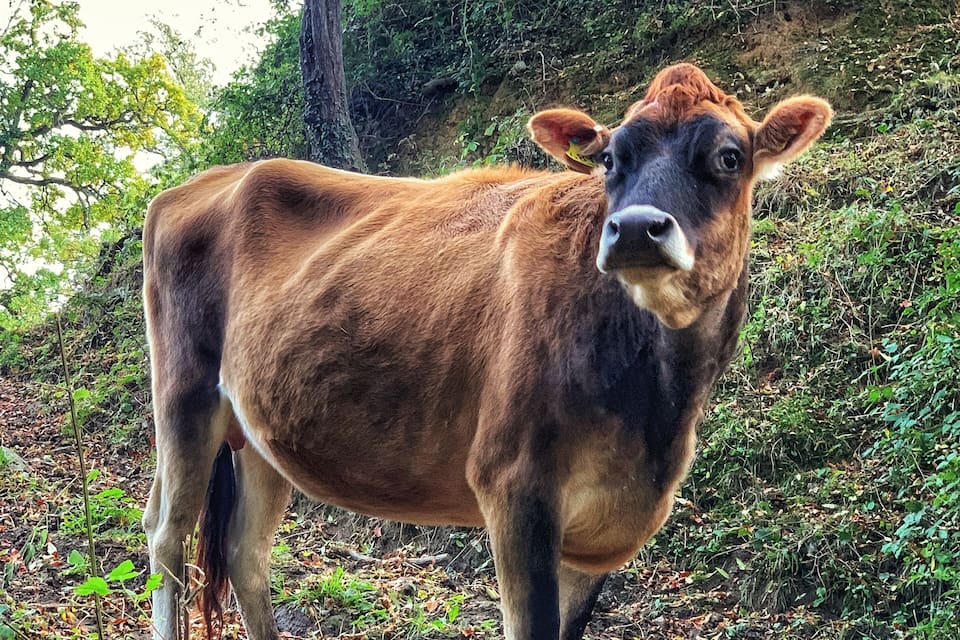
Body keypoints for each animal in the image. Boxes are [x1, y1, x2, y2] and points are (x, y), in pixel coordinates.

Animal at [141, 63, 831, 640]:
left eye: (729, 156)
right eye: (610, 158)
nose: (636, 227)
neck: (657, 407)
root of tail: (197, 183)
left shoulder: (601, 532)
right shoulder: (515, 489)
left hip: (259, 434)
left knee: (243, 553)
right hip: (183, 395)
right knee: (166, 537)